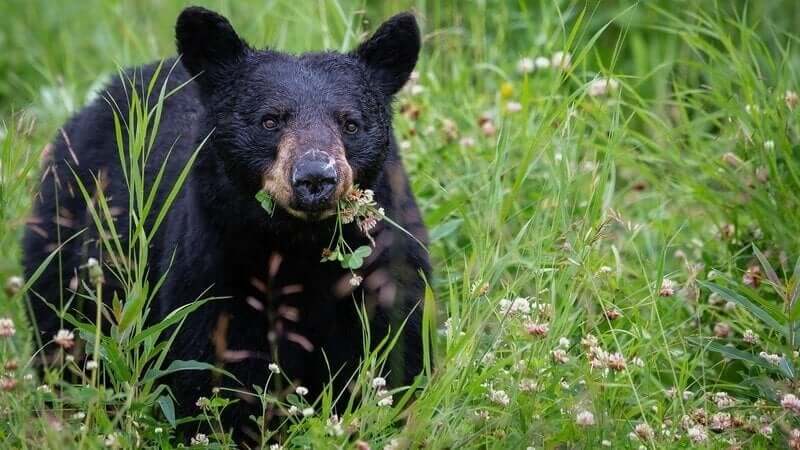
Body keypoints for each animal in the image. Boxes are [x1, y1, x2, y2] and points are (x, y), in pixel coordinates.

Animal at [22, 6, 430, 442]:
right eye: (270, 121)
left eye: (350, 123)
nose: (315, 178)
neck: (298, 245)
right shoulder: (213, 263)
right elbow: (213, 366)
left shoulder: (384, 262)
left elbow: (395, 350)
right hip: (66, 236)